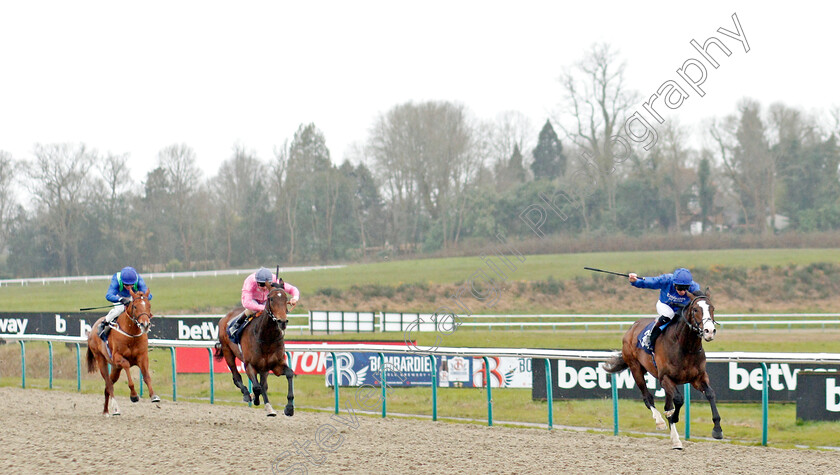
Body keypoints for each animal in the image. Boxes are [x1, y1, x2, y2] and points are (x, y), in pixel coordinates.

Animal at [86, 286, 158, 416]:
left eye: (149, 306)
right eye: (135, 306)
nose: (145, 324)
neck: (131, 335)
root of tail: (93, 328)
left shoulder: (142, 357)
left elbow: (146, 376)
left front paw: (153, 396)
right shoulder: (117, 357)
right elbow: (127, 366)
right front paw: (134, 396)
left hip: (115, 368)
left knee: (107, 386)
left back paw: (106, 410)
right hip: (101, 360)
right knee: (109, 384)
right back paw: (115, 408)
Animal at [213, 282, 296, 416]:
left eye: (285, 299)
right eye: (271, 299)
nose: (282, 321)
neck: (266, 338)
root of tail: (224, 318)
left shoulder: (276, 365)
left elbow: (289, 374)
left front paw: (289, 407)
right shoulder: (249, 365)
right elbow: (257, 387)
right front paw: (256, 399)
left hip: (264, 368)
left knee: (263, 384)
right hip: (227, 352)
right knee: (237, 377)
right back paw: (247, 394)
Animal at [604, 290, 720, 450]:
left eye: (712, 308)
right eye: (696, 309)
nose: (709, 331)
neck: (685, 347)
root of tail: (632, 327)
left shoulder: (698, 378)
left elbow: (710, 394)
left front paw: (717, 429)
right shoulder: (665, 378)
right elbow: (678, 400)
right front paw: (673, 416)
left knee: (666, 403)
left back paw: (676, 440)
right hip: (636, 368)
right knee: (647, 397)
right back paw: (659, 421)